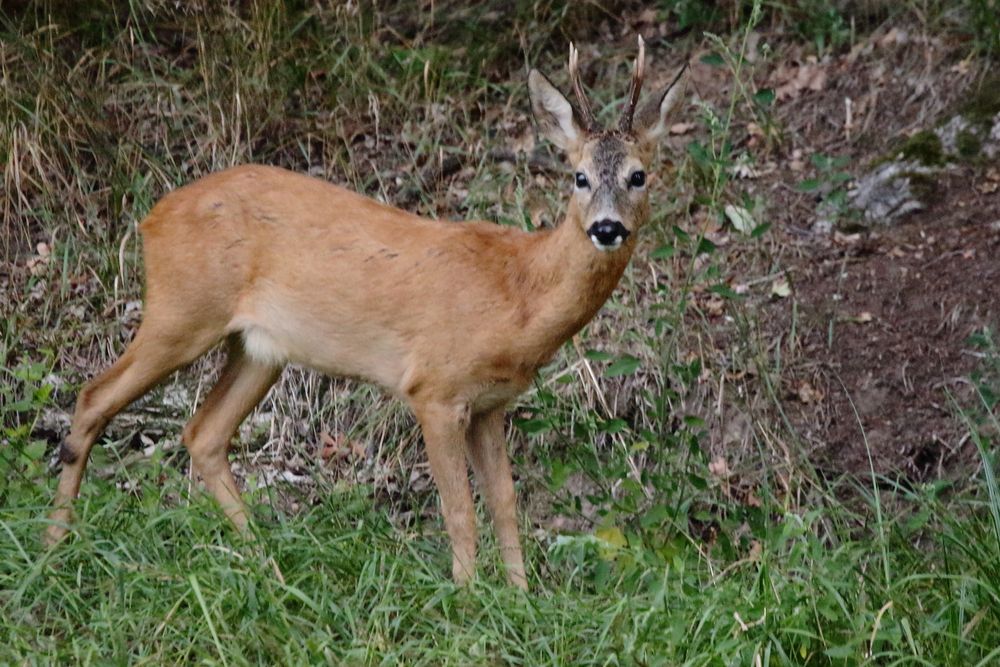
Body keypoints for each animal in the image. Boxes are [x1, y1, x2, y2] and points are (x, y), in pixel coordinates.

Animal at [45, 37, 688, 588]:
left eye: (639, 175)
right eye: (578, 176)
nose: (607, 228)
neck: (518, 295)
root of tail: (151, 218)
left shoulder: (490, 403)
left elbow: (505, 503)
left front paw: (521, 596)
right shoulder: (434, 388)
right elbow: (459, 507)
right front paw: (467, 600)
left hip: (257, 348)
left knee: (203, 433)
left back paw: (267, 563)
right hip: (182, 309)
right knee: (94, 397)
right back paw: (56, 545)